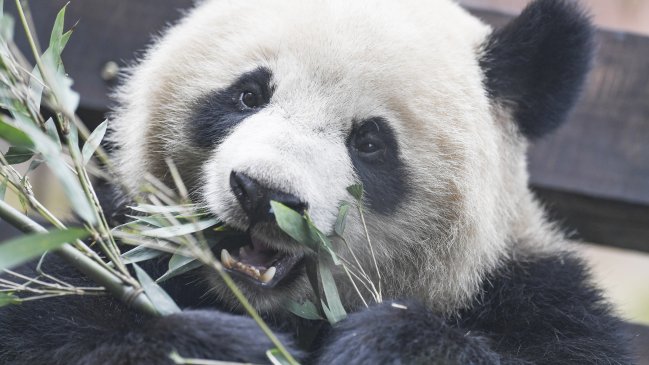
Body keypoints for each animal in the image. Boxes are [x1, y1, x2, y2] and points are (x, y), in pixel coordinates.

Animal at [0, 0, 632, 362]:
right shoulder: (104, 244)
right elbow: (43, 321)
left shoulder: (536, 297)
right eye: (248, 95)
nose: (262, 194)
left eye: (370, 142)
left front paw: (385, 346)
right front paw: (223, 347)